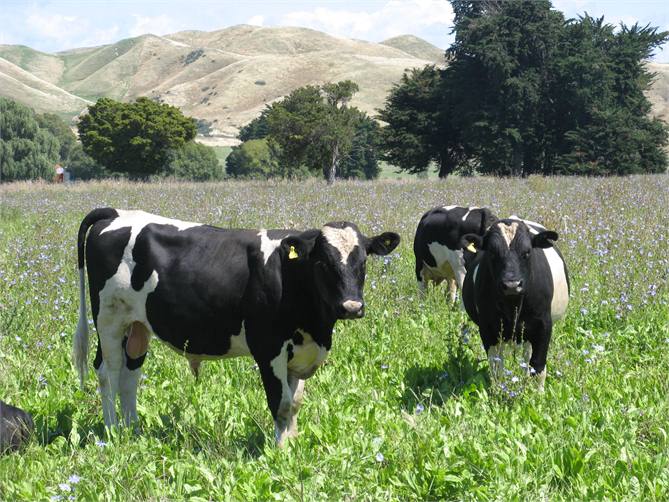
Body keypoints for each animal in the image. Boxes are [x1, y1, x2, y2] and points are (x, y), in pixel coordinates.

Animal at [72, 208, 400, 446]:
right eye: (322, 263)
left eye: (363, 262)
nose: (352, 307)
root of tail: (116, 213)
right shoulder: (268, 348)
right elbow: (281, 403)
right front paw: (280, 451)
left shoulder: (300, 352)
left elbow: (294, 403)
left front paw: (293, 445)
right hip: (109, 320)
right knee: (108, 373)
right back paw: (112, 432)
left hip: (138, 327)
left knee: (129, 377)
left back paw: (134, 432)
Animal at [460, 217, 569, 391]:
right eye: (492, 253)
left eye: (527, 252)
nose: (511, 284)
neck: (513, 305)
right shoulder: (487, 328)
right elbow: (496, 365)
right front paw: (498, 391)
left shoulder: (543, 325)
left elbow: (538, 365)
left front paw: (538, 394)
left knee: (527, 356)